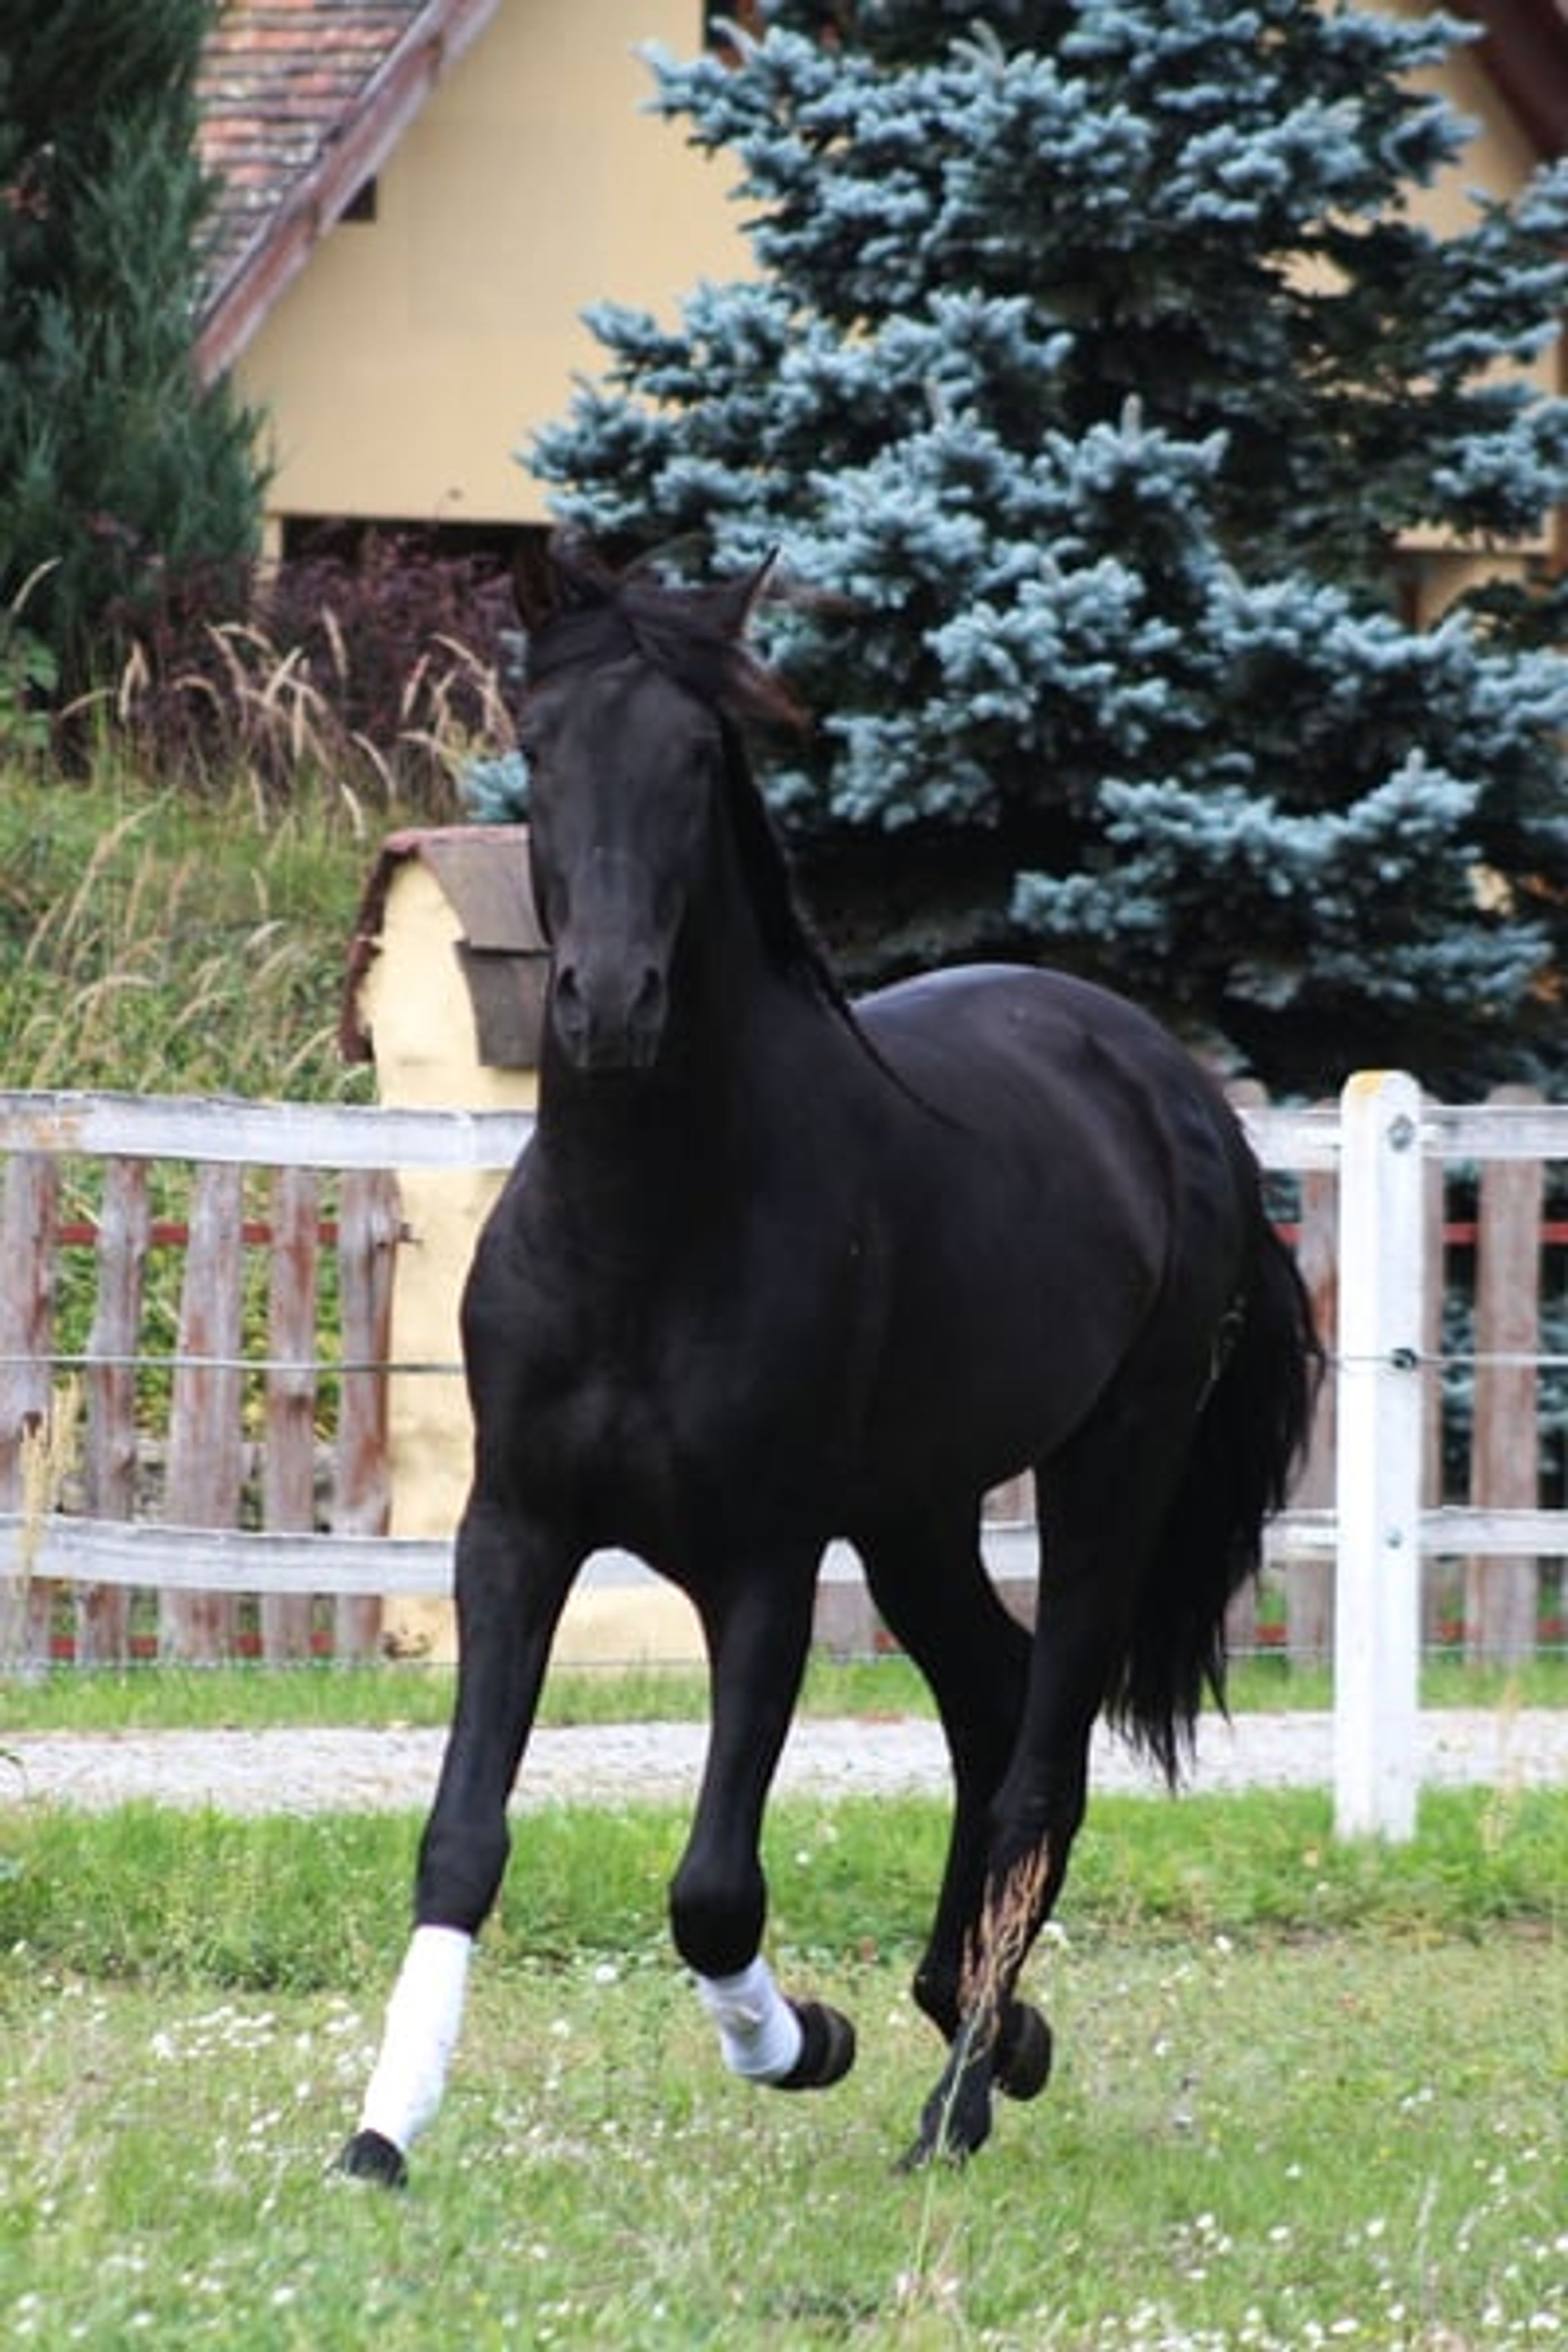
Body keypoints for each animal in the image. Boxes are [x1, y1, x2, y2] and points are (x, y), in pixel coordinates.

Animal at [339, 539, 1320, 2186]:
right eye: (537, 748)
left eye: (693, 757)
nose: (610, 1003)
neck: (647, 1228)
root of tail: (1173, 1088)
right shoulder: (513, 1532)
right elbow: (461, 1836)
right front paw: (380, 2133)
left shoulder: (763, 1564)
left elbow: (712, 1886)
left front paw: (801, 2040)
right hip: (916, 1510)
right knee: (991, 1703)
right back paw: (991, 2027)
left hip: (1107, 1467)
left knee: (1041, 1749)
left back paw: (954, 2093)